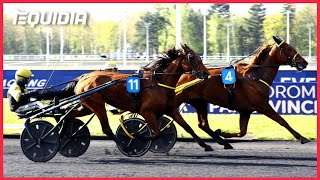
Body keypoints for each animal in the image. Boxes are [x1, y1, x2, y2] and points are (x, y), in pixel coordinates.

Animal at [62, 44, 218, 152]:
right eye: (192, 57)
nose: (206, 73)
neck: (158, 82)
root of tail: (82, 77)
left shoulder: (171, 110)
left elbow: (188, 128)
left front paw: (206, 145)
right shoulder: (146, 111)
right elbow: (156, 133)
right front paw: (138, 137)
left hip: (87, 106)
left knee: (67, 115)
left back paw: (65, 134)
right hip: (97, 105)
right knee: (106, 129)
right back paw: (124, 145)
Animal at [175, 35, 310, 146]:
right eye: (288, 48)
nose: (304, 62)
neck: (255, 76)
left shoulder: (245, 111)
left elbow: (242, 132)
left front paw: (221, 133)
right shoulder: (262, 105)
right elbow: (282, 120)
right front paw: (302, 137)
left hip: (200, 102)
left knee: (203, 124)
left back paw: (221, 141)